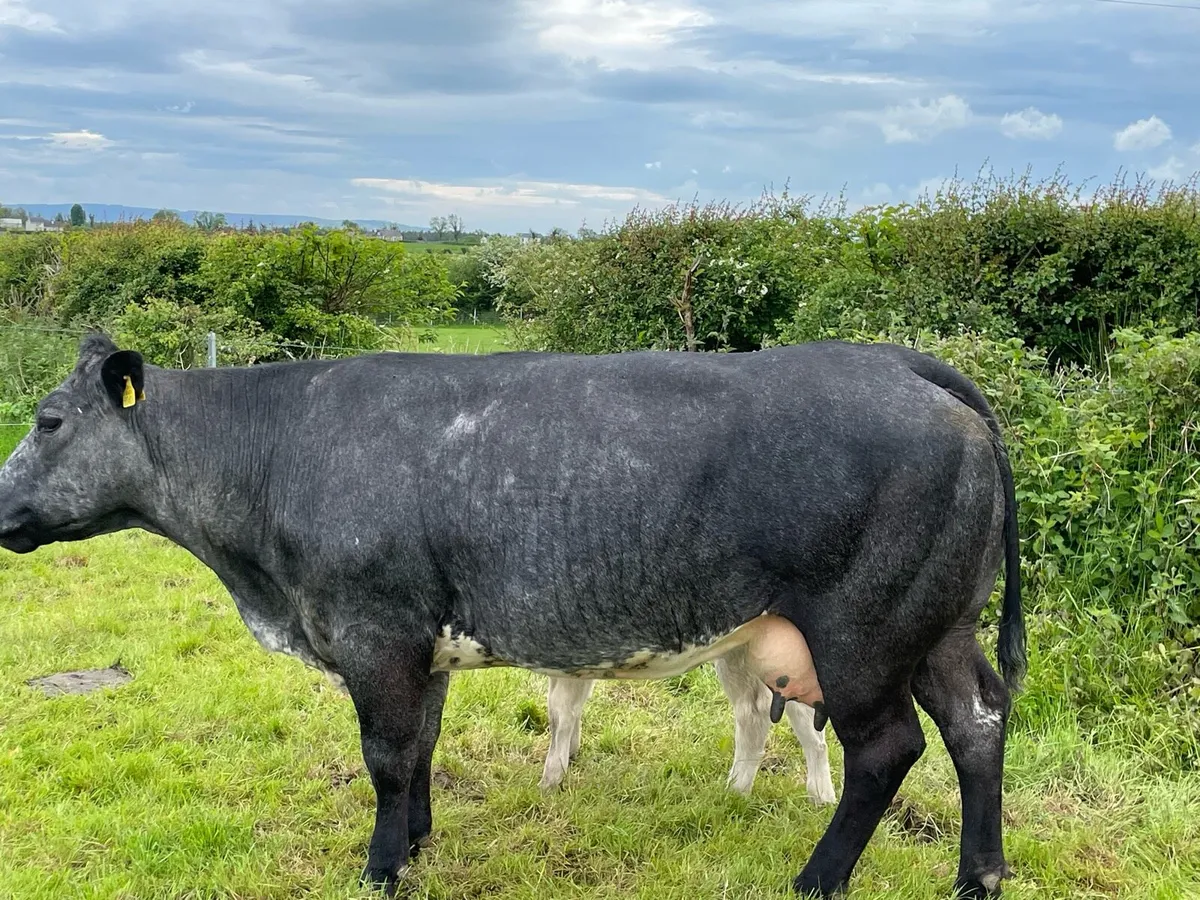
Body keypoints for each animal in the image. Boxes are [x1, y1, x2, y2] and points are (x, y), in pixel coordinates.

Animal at [540, 650, 838, 802]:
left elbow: (561, 711)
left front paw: (551, 778)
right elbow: (568, 705)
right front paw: (570, 753)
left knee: (753, 708)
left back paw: (735, 790)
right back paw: (821, 795)